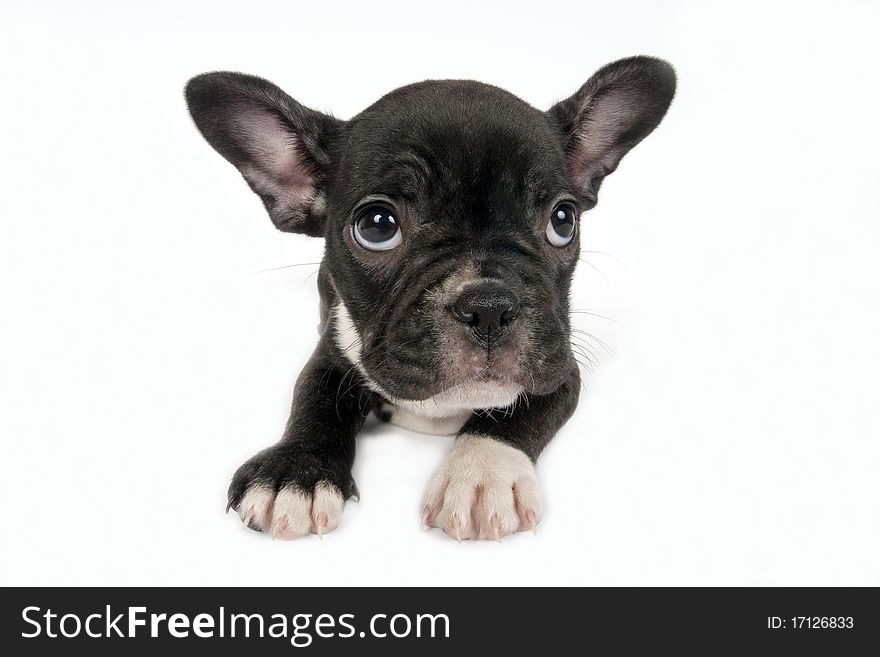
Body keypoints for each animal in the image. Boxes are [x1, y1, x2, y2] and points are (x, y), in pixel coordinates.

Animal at [186, 55, 672, 540]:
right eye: (377, 226)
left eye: (563, 220)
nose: (490, 306)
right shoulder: (332, 353)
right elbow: (313, 398)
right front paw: (296, 471)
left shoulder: (560, 367)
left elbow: (516, 417)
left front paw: (480, 475)